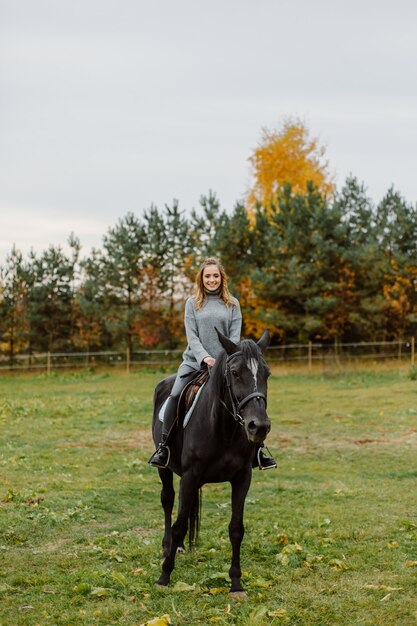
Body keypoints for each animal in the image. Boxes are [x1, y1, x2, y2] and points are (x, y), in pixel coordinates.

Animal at [151, 326, 272, 588]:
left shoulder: (242, 478)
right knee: (168, 500)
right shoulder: (189, 476)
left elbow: (236, 528)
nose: (258, 427)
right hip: (164, 468)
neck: (223, 430)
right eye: (235, 373)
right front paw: (164, 576)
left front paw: (236, 582)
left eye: (267, 373)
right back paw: (168, 547)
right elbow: (178, 525)